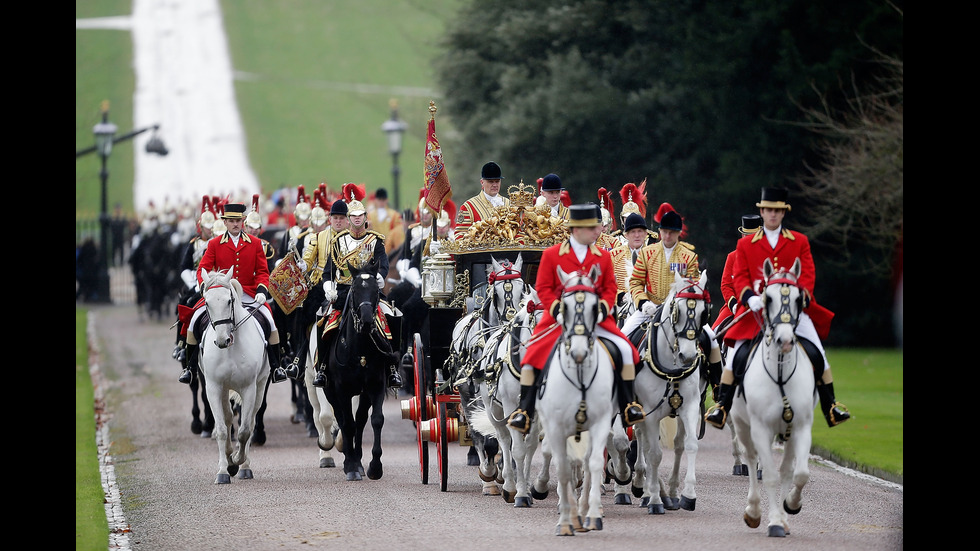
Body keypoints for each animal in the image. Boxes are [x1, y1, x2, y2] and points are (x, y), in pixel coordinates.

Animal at [198, 270, 270, 486]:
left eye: (229, 301)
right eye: (206, 302)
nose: (223, 340)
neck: (230, 349)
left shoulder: (249, 388)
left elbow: (245, 430)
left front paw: (238, 460)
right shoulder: (213, 387)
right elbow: (222, 429)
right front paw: (224, 469)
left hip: (260, 386)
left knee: (251, 422)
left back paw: (244, 465)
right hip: (223, 390)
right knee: (229, 418)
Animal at [316, 260, 388, 480]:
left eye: (376, 290)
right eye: (354, 290)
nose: (366, 321)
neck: (360, 350)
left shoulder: (376, 386)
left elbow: (376, 420)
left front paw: (374, 467)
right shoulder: (342, 390)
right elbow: (347, 423)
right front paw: (351, 466)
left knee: (361, 420)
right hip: (330, 391)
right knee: (342, 419)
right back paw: (350, 459)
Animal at [536, 268, 612, 536]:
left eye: (594, 306)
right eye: (564, 306)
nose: (579, 353)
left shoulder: (601, 423)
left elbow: (595, 462)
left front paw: (591, 514)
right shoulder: (555, 426)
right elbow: (563, 466)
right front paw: (566, 520)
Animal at [628, 270, 712, 512]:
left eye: (704, 312)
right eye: (677, 311)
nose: (688, 356)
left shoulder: (690, 407)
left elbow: (690, 445)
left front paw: (688, 495)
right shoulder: (650, 411)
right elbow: (654, 454)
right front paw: (655, 499)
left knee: (674, 445)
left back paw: (670, 492)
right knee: (644, 443)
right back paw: (646, 489)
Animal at [732, 258, 816, 540]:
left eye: (799, 298)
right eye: (767, 298)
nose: (785, 340)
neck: (780, 373)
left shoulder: (800, 427)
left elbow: (798, 473)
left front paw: (790, 506)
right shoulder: (760, 428)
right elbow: (768, 474)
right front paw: (773, 522)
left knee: (786, 469)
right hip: (742, 424)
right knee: (749, 458)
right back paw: (753, 511)